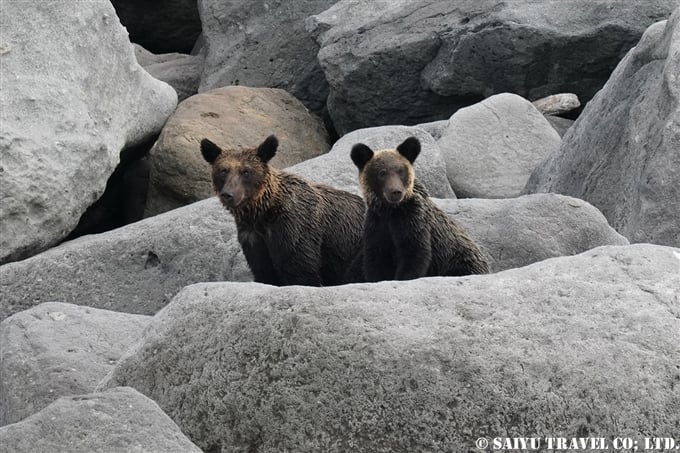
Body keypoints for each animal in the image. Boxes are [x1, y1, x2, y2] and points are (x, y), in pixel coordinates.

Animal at [202, 133, 366, 286]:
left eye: (246, 171)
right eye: (223, 170)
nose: (228, 195)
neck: (262, 212)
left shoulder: (294, 229)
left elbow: (300, 271)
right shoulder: (252, 236)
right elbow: (263, 270)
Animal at [350, 136, 488, 280]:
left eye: (400, 171)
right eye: (382, 173)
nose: (396, 192)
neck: (391, 210)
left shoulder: (413, 220)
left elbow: (414, 255)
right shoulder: (377, 223)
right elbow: (376, 259)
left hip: (460, 261)